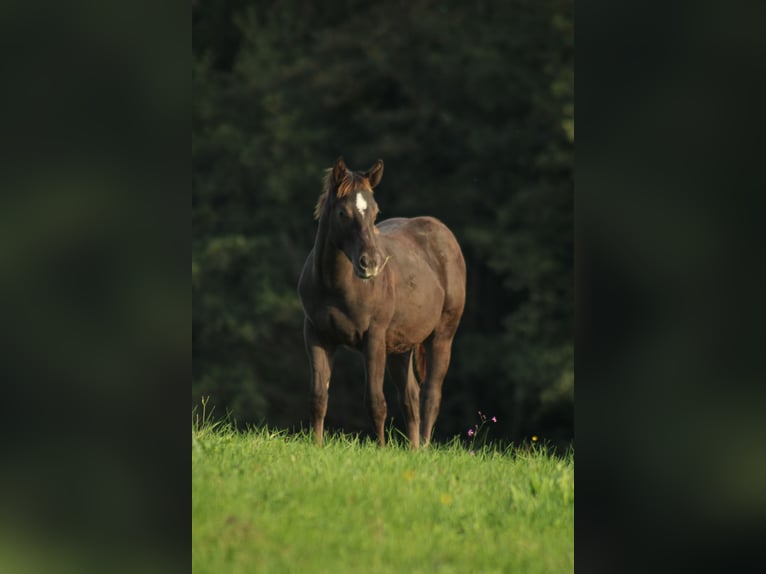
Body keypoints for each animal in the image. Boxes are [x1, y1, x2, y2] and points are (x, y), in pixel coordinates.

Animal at [298, 158, 468, 450]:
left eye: (374, 212)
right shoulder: (317, 336)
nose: (371, 263)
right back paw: (413, 449)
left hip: (442, 337)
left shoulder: (374, 338)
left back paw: (424, 448)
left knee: (430, 395)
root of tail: (444, 235)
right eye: (343, 213)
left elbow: (375, 401)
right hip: (401, 346)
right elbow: (318, 397)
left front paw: (381, 449)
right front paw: (316, 446)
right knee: (411, 397)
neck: (336, 286)